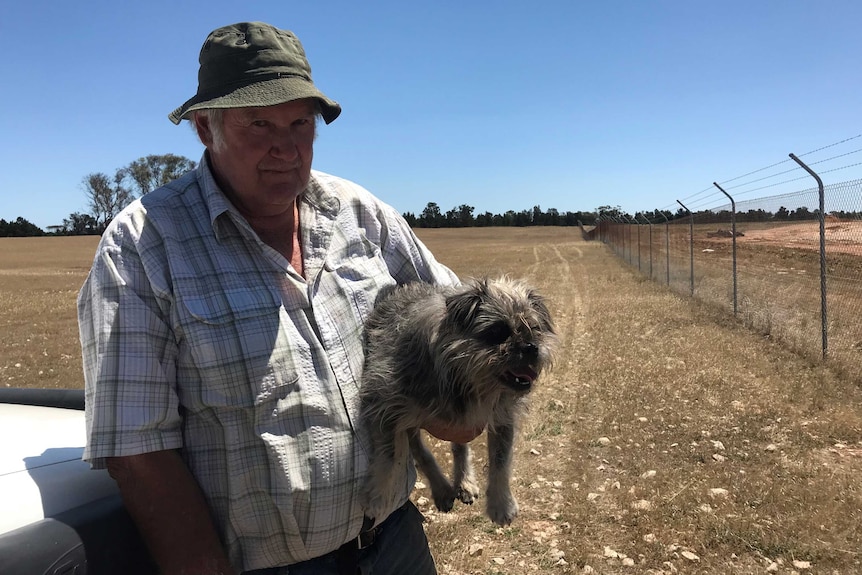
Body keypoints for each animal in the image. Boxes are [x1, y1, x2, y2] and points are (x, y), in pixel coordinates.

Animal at [360, 278, 556, 528]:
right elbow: (389, 456)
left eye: (535, 329)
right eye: (498, 331)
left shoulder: (502, 419)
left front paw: (501, 504)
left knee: (459, 448)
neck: (462, 378)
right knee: (420, 451)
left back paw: (463, 482)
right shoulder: (384, 407)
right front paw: (378, 497)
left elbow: (500, 463)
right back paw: (442, 489)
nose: (531, 347)